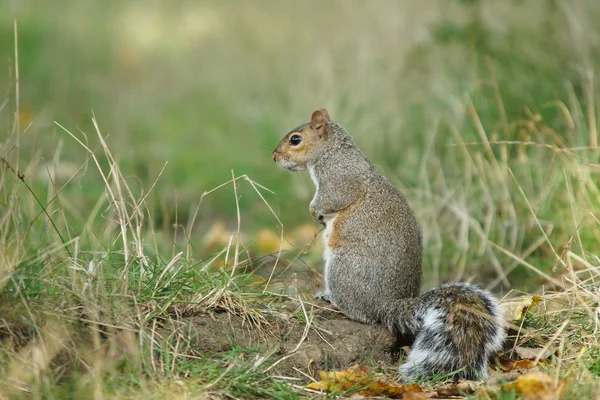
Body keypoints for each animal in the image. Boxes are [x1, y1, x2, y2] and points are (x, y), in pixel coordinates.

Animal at [274, 109, 506, 382]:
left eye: (295, 139)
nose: (274, 157)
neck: (332, 149)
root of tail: (388, 306)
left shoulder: (338, 179)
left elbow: (330, 199)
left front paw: (315, 211)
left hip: (345, 265)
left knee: (361, 313)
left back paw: (332, 299)